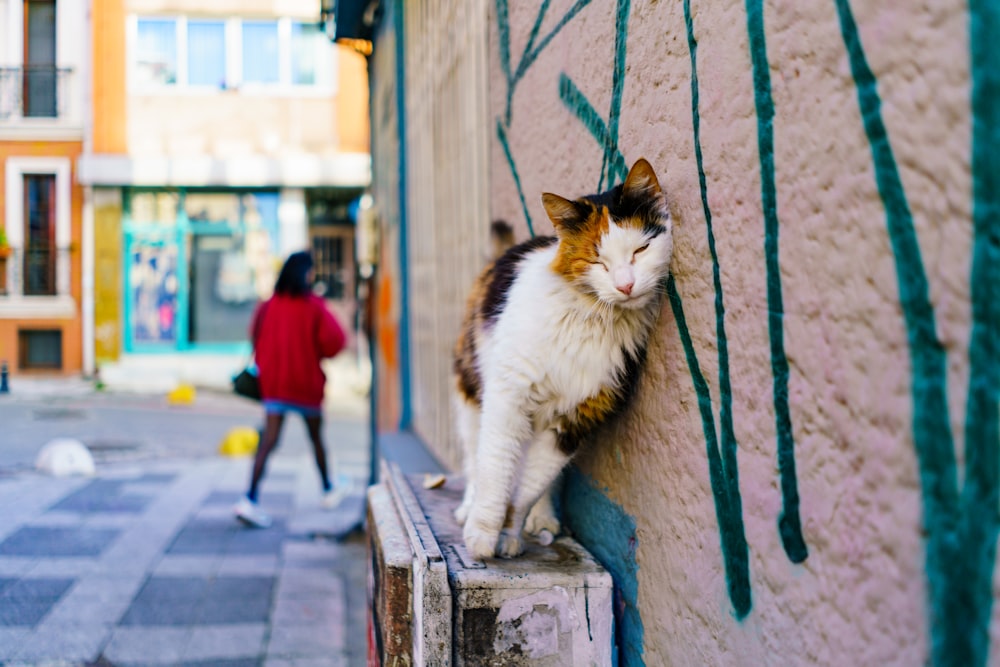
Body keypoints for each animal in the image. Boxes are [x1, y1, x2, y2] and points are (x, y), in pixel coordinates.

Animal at [454, 159, 672, 560]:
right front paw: (482, 534)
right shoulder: (507, 396)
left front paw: (510, 532)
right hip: (472, 389)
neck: (592, 319)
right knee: (475, 457)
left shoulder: (576, 417)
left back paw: (543, 519)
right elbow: (495, 469)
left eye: (640, 250)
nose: (626, 285)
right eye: (598, 261)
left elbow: (528, 486)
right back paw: (468, 507)